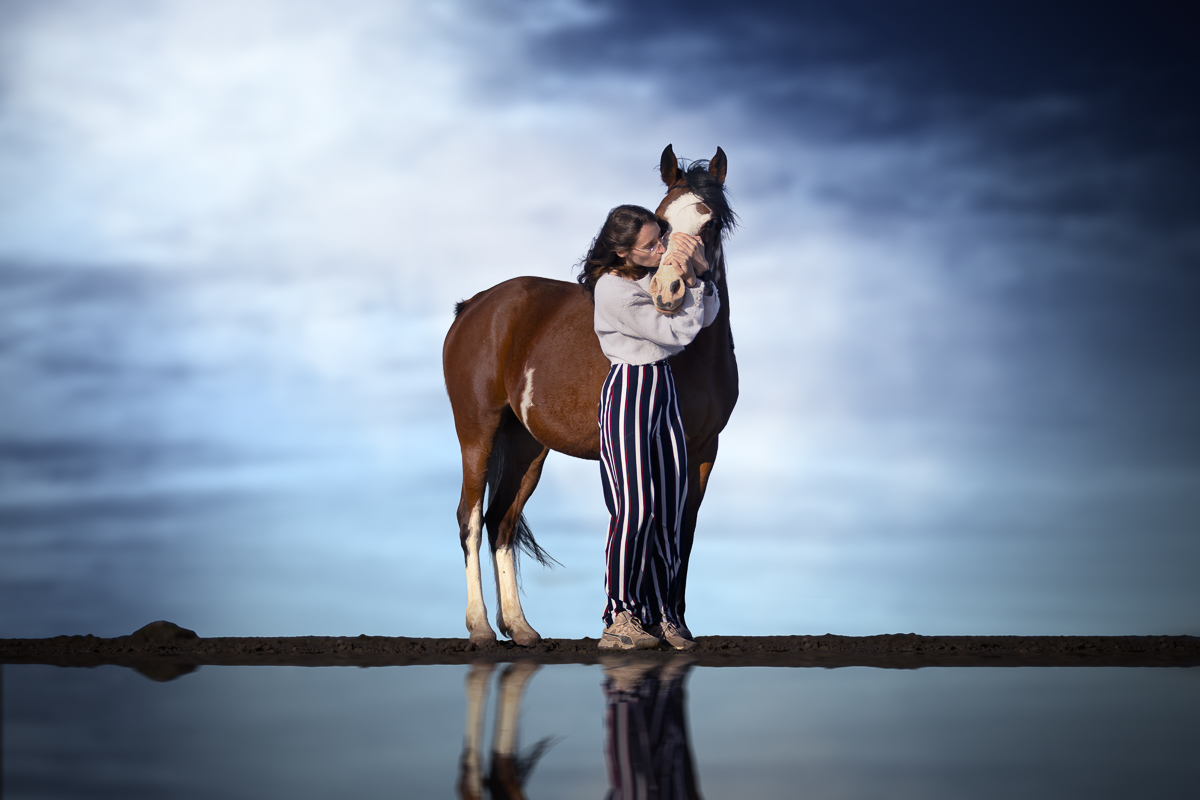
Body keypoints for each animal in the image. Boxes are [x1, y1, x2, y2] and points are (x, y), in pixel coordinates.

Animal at [443, 144, 738, 645]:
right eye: (662, 222)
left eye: (711, 224)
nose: (668, 292)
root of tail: (474, 306)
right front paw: (639, 626)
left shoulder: (702, 450)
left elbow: (682, 533)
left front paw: (674, 626)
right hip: (477, 430)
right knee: (471, 518)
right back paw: (480, 627)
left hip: (526, 446)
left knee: (501, 522)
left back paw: (520, 628)